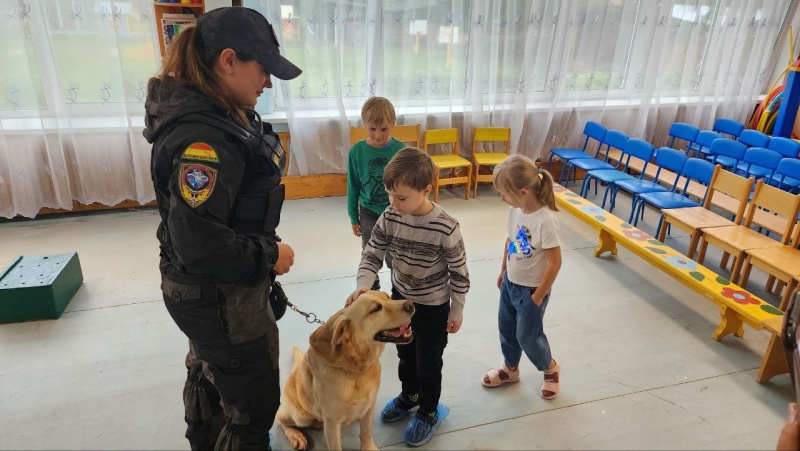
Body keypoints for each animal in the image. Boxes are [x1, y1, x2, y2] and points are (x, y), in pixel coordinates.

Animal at [276, 292, 412, 450]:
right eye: (376, 309)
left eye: (388, 297)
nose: (411, 304)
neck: (357, 370)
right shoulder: (332, 422)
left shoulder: (369, 407)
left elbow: (366, 433)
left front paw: (368, 447)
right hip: (299, 416)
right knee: (280, 419)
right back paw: (296, 435)